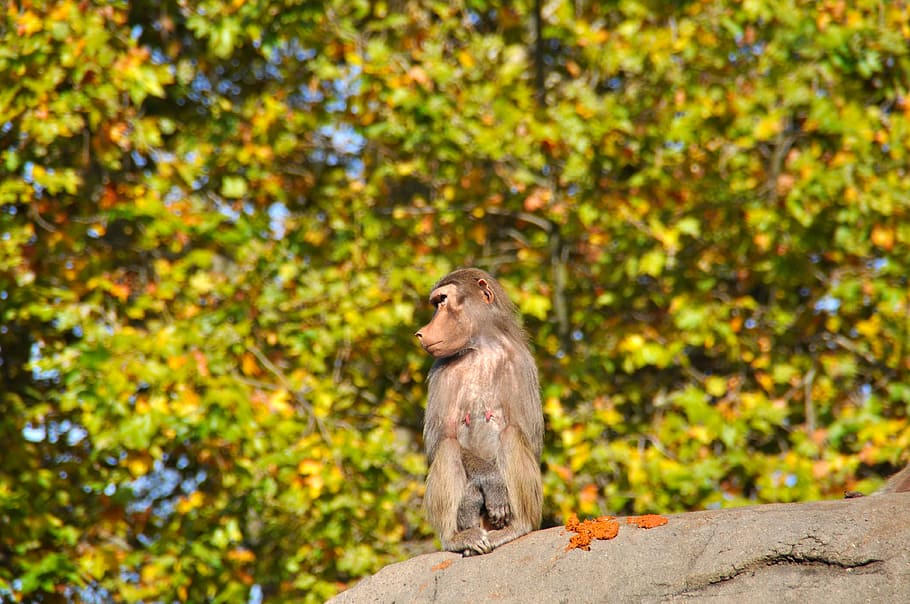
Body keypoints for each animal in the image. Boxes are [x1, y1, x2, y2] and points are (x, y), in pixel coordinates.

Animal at [415, 268, 543, 556]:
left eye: (442, 301)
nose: (420, 333)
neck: (481, 349)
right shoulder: (440, 370)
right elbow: (440, 440)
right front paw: (477, 491)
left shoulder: (522, 362)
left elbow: (530, 440)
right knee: (448, 447)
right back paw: (457, 538)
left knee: (511, 435)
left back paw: (517, 527)